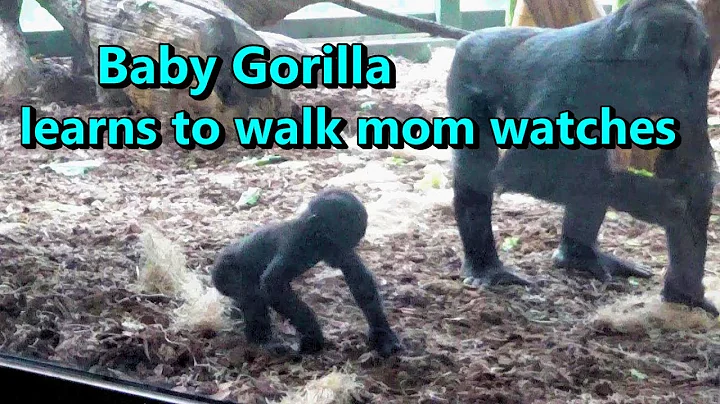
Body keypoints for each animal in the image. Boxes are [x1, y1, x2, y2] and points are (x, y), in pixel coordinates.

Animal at [211, 188, 403, 357]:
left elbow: (359, 278)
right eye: (335, 242)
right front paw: (313, 338)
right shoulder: (296, 244)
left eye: (350, 243)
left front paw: (383, 336)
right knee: (252, 296)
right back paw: (263, 342)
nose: (338, 254)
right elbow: (274, 283)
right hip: (224, 273)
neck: (312, 235)